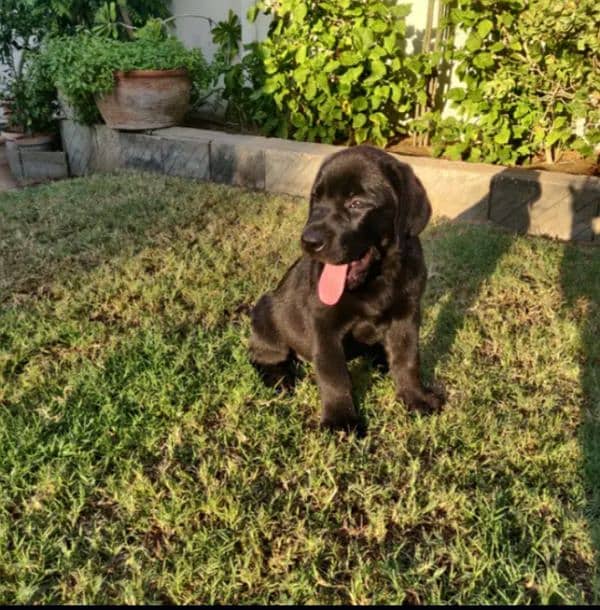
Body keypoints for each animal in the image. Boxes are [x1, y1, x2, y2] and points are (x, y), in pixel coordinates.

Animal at [247, 144, 440, 428]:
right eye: (316, 199)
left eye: (356, 203)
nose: (309, 241)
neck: (377, 277)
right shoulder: (324, 326)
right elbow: (334, 376)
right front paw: (341, 420)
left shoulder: (406, 316)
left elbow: (407, 359)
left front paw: (414, 397)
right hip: (265, 312)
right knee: (263, 356)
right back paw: (279, 379)